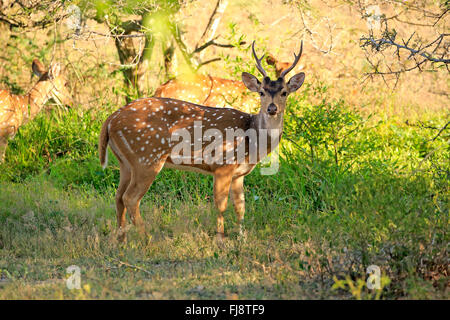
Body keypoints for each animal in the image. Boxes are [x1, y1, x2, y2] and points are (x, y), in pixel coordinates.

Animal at [100, 40, 306, 241]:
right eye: (261, 92)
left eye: (284, 92)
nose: (272, 109)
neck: (252, 140)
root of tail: (110, 120)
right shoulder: (223, 165)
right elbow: (221, 205)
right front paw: (221, 240)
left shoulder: (239, 173)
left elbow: (240, 207)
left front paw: (242, 238)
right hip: (147, 158)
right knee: (130, 198)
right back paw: (147, 240)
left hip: (126, 163)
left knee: (118, 196)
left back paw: (122, 240)